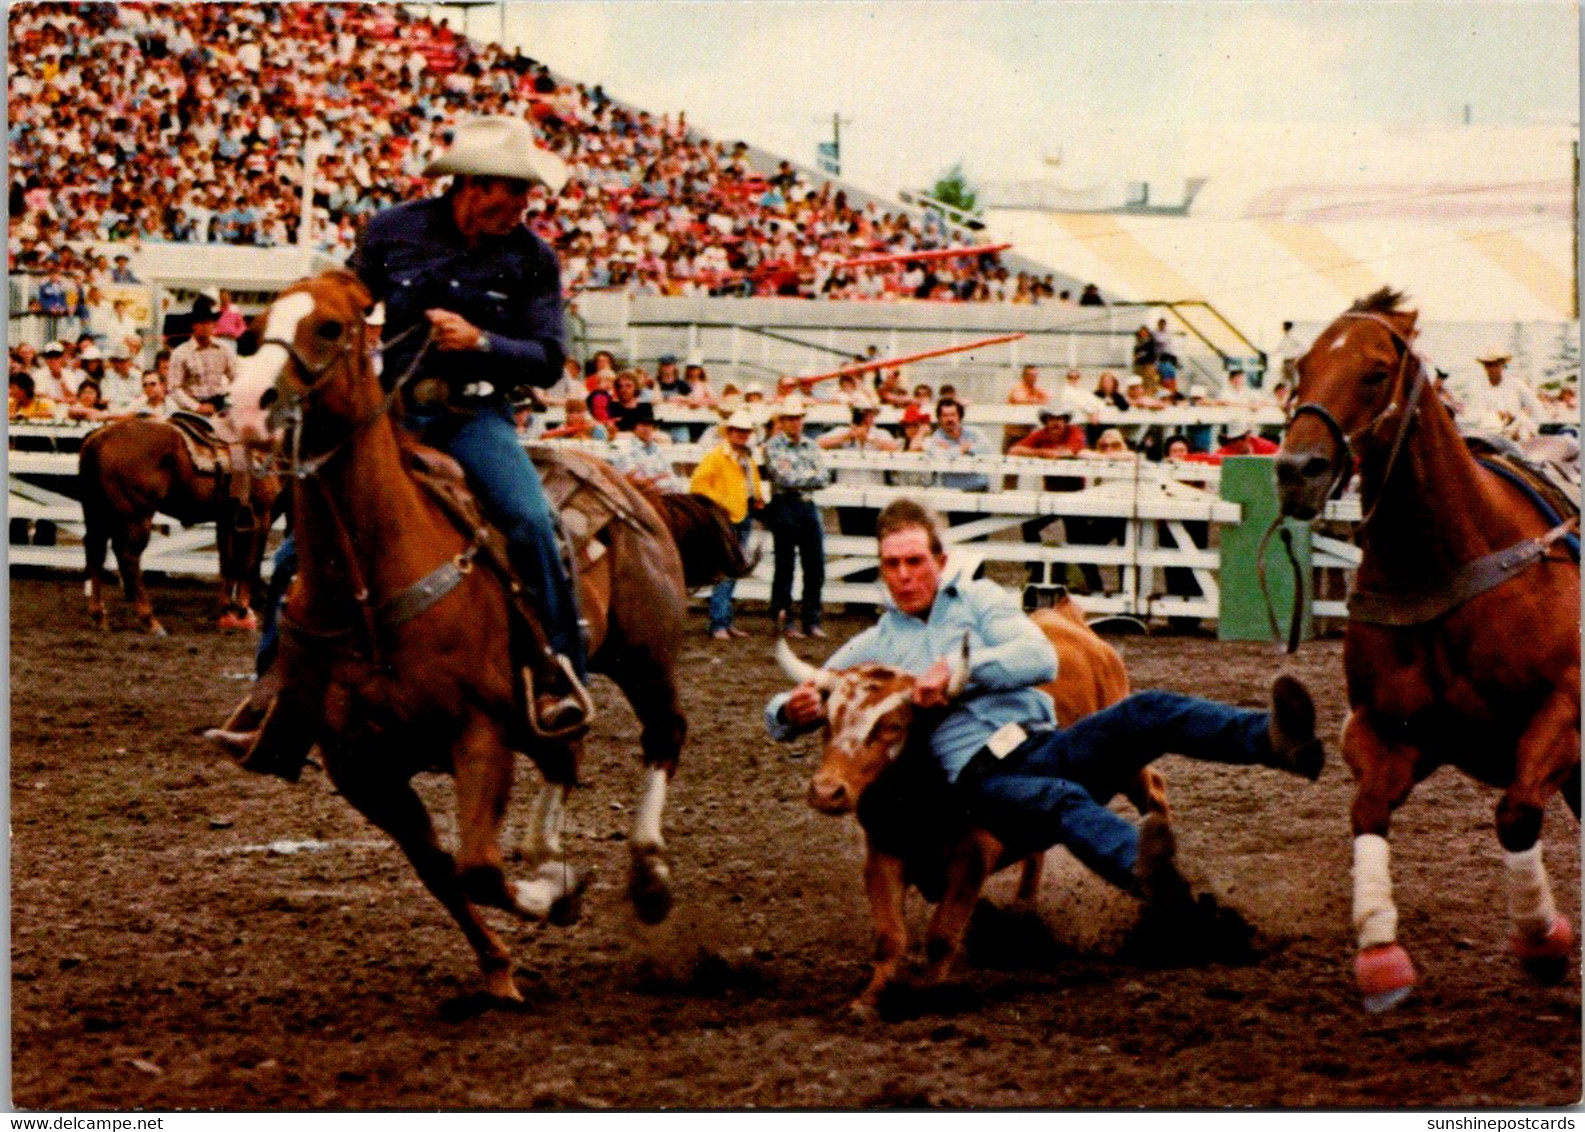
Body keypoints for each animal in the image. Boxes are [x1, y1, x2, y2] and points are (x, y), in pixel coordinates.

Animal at [78, 412, 285, 631]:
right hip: (136, 517)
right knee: (128, 557)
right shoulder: (261, 516)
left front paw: (227, 612)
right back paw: (150, 620)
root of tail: (100, 437)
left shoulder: (228, 520)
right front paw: (244, 612)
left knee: (95, 551)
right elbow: (249, 565)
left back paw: (99, 616)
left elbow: (227, 565)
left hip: (99, 514)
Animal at [225, 271, 748, 995]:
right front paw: (502, 964)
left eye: (330, 326)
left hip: (644, 657)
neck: (372, 582)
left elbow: (476, 866)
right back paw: (549, 853)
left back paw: (647, 879)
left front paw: (555, 896)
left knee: (662, 737)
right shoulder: (363, 770)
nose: (249, 405)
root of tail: (636, 488)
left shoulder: (480, 735)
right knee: (564, 750)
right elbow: (444, 871)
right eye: (254, 328)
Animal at [1280, 286, 1578, 1008]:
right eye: (1300, 368)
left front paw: (1542, 940)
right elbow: (1366, 810)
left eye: (1375, 370)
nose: (1295, 470)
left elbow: (1516, 812)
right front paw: (1380, 952)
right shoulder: (1388, 731)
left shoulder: (1564, 712)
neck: (1447, 561)